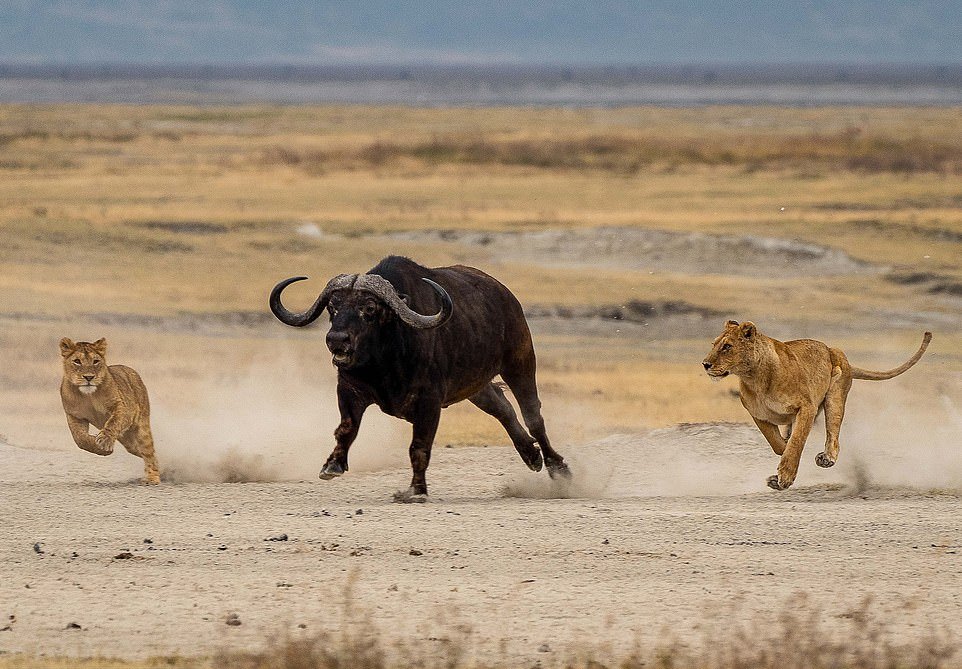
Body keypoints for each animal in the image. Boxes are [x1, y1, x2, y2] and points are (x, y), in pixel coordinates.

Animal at [268, 256, 568, 500]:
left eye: (369, 308)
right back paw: (532, 456)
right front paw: (332, 465)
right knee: (502, 408)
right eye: (333, 306)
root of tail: (507, 298)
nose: (337, 340)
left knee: (533, 416)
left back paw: (558, 468)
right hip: (476, 386)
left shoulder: (429, 402)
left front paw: (416, 491)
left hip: (520, 361)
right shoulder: (350, 389)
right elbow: (346, 429)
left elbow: (419, 447)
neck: (385, 362)